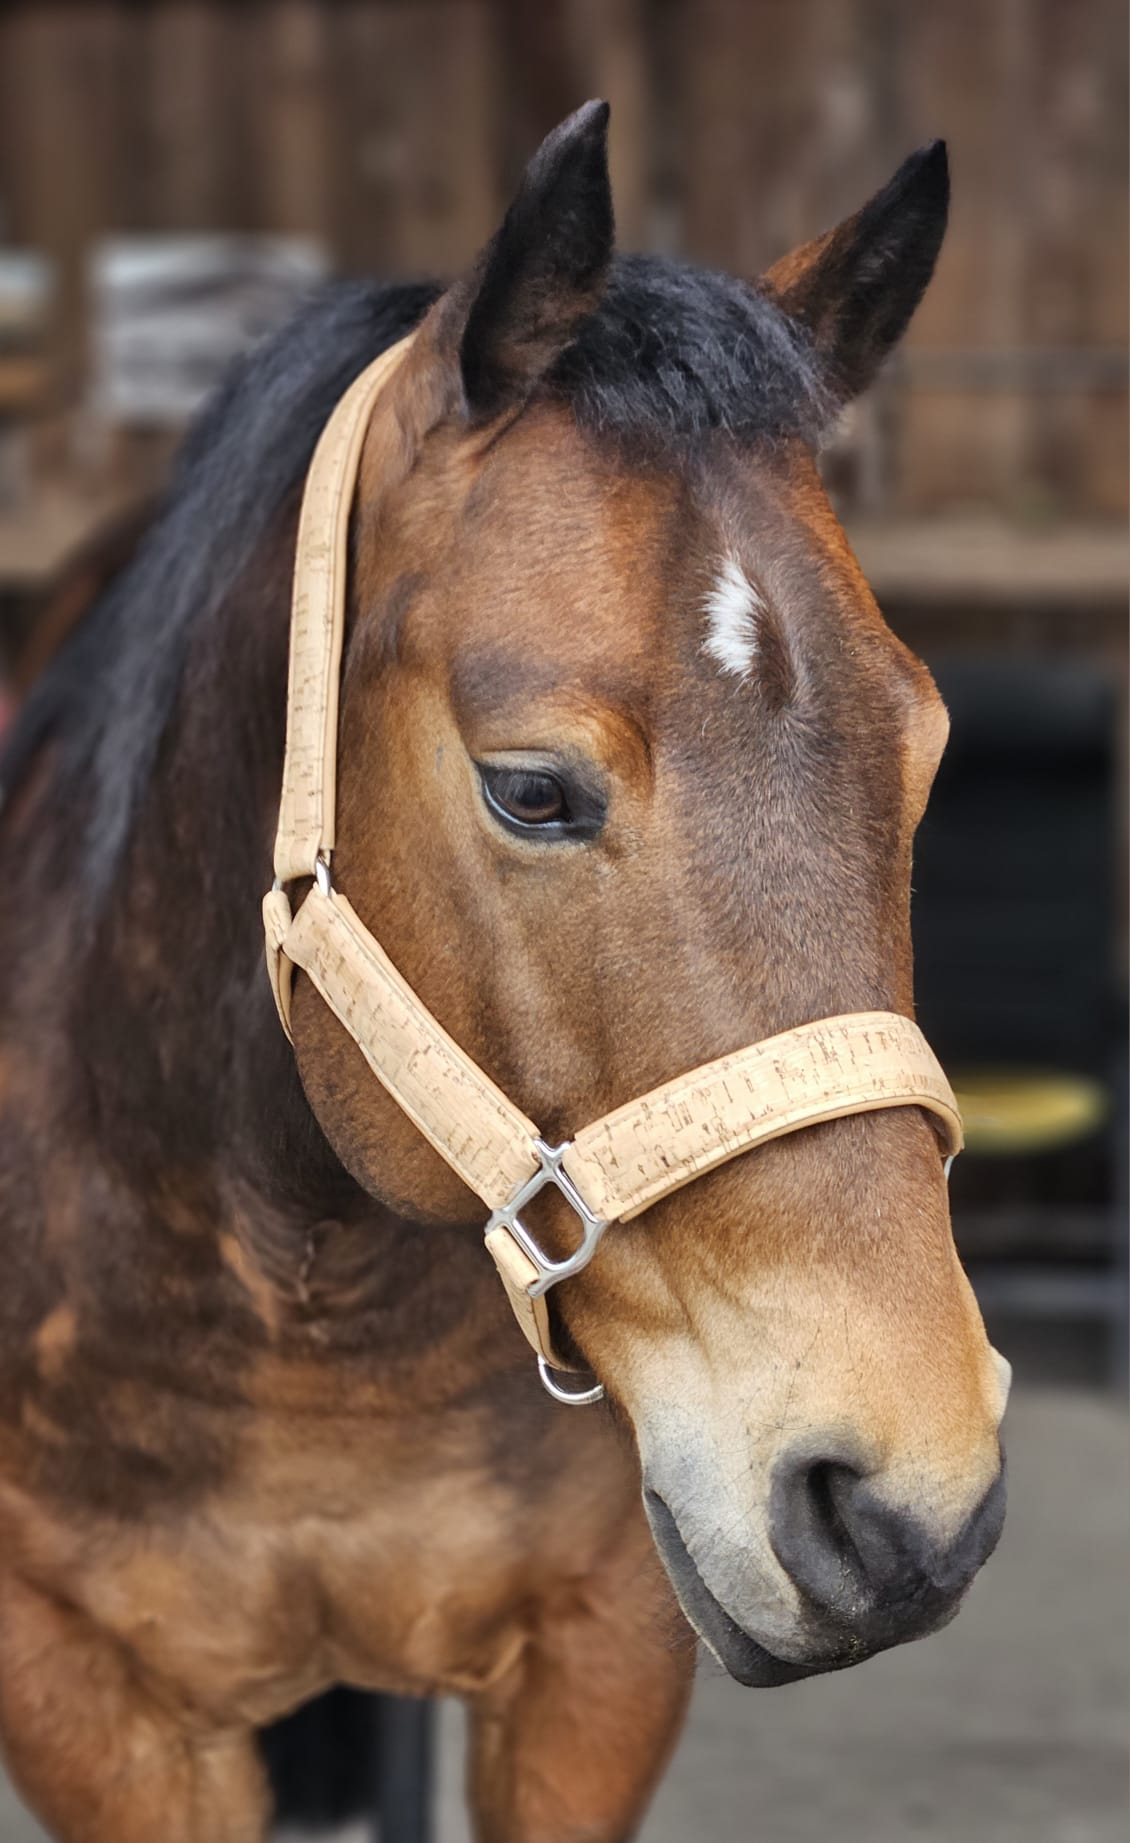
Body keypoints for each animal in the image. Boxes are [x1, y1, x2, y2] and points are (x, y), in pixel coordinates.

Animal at [0, 101, 1009, 1842]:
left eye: (926, 751)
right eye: (530, 789)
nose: (906, 1501)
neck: (301, 1291)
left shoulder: (597, 1661)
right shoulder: (86, 1696)